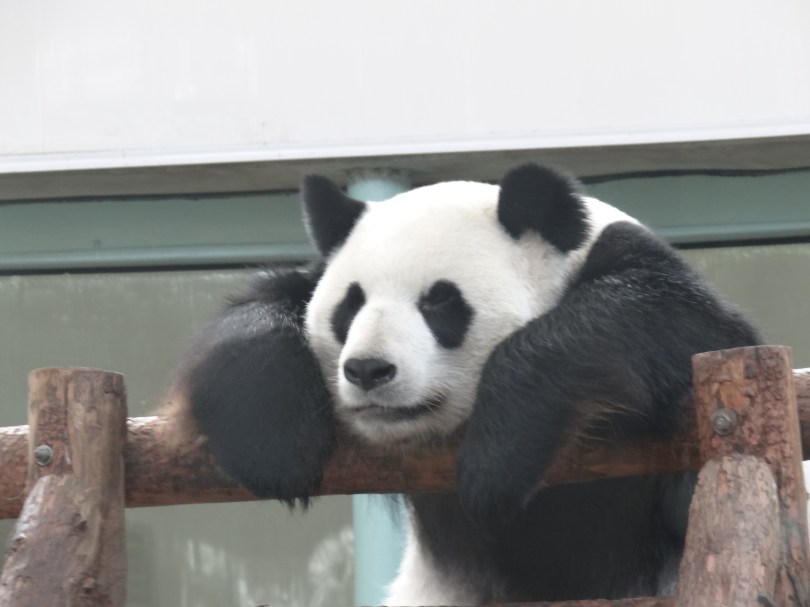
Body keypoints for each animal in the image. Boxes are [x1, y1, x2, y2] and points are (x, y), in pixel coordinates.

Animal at [169, 163, 760, 604]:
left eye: (439, 302)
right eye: (350, 305)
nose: (368, 370)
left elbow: (657, 318)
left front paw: (496, 462)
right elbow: (255, 314)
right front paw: (274, 445)